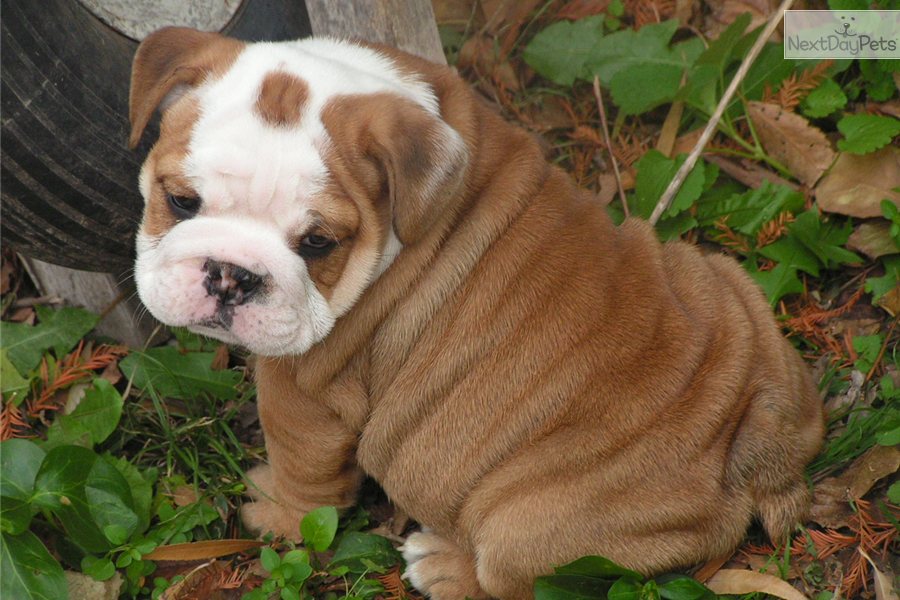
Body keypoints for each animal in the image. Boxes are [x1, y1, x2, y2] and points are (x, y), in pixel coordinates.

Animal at [130, 28, 828, 600]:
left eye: (318, 243)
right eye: (181, 200)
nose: (231, 274)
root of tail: (745, 448)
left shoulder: (305, 392)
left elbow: (304, 476)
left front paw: (274, 512)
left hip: (524, 524)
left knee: (516, 580)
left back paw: (443, 564)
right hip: (730, 287)